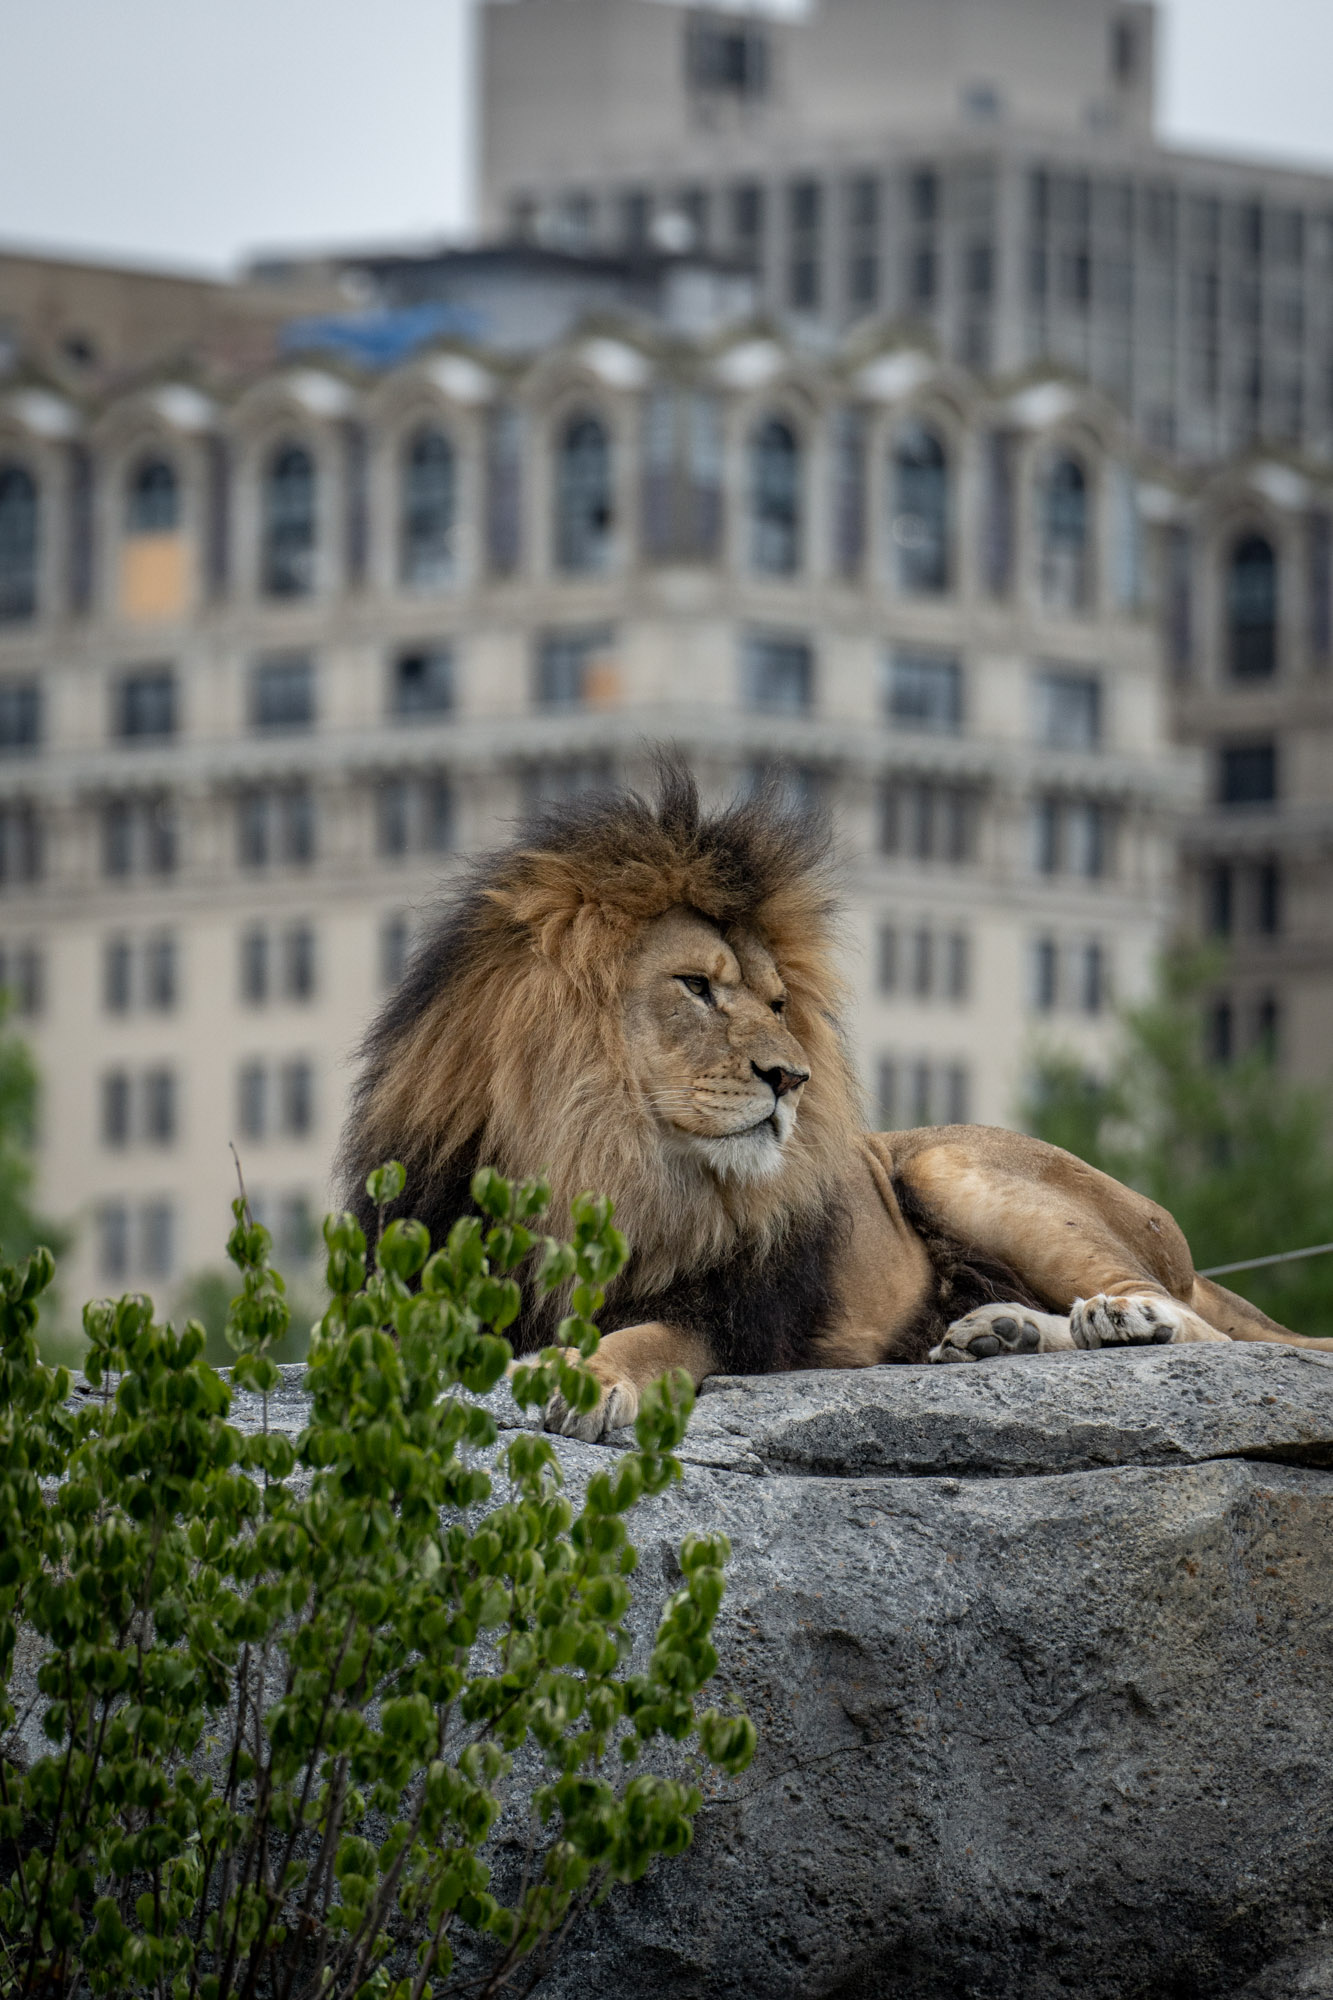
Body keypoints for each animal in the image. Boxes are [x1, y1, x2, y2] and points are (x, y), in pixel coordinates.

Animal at [338, 764, 1320, 1440]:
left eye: (777, 1005)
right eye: (695, 987)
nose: (791, 1079)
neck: (603, 1158)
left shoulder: (735, 1320)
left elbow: (650, 1337)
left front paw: (589, 1374)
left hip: (954, 1164)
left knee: (1209, 1333)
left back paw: (1117, 1320)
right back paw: (997, 1333)